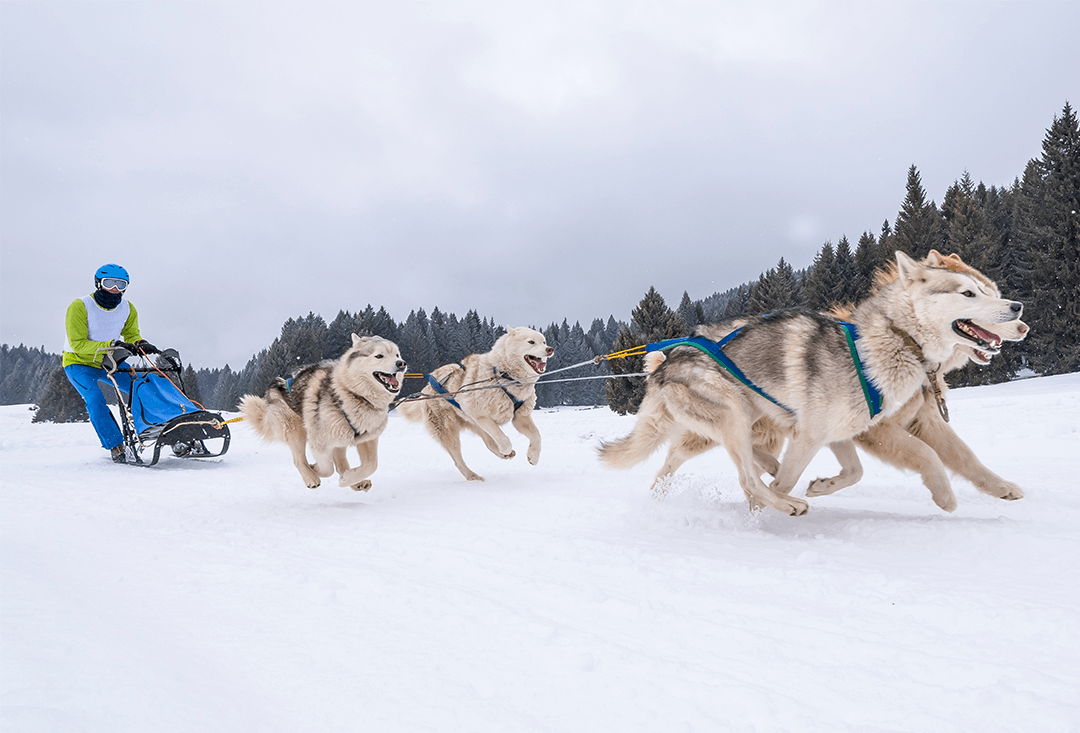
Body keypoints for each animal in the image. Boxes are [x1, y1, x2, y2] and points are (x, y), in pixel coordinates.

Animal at [239, 334, 406, 490]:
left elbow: (372, 464)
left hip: (339, 437)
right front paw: (316, 470)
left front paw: (348, 478)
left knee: (340, 463)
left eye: (397, 355)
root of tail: (277, 384)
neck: (354, 395)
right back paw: (310, 477)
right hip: (296, 430)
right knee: (299, 460)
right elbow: (327, 468)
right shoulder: (319, 441)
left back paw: (356, 482)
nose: (402, 364)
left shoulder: (367, 438)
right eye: (379, 355)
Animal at [397, 326, 552, 481]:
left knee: (489, 444)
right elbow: (503, 439)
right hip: (450, 431)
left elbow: (537, 436)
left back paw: (502, 456)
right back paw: (473, 476)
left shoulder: (520, 417)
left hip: (476, 425)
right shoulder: (482, 416)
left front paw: (533, 456)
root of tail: (426, 389)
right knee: (458, 460)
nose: (550, 349)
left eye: (544, 341)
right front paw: (506, 449)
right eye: (531, 342)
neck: (504, 376)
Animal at [604, 252, 1023, 516]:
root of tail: (666, 360)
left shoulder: (841, 433)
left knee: (705, 460)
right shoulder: (828, 435)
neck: (894, 341)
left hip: (742, 421)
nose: (1019, 311)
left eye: (993, 292)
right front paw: (945, 496)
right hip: (732, 415)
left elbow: (861, 471)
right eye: (968, 293)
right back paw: (780, 501)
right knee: (743, 475)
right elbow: (926, 455)